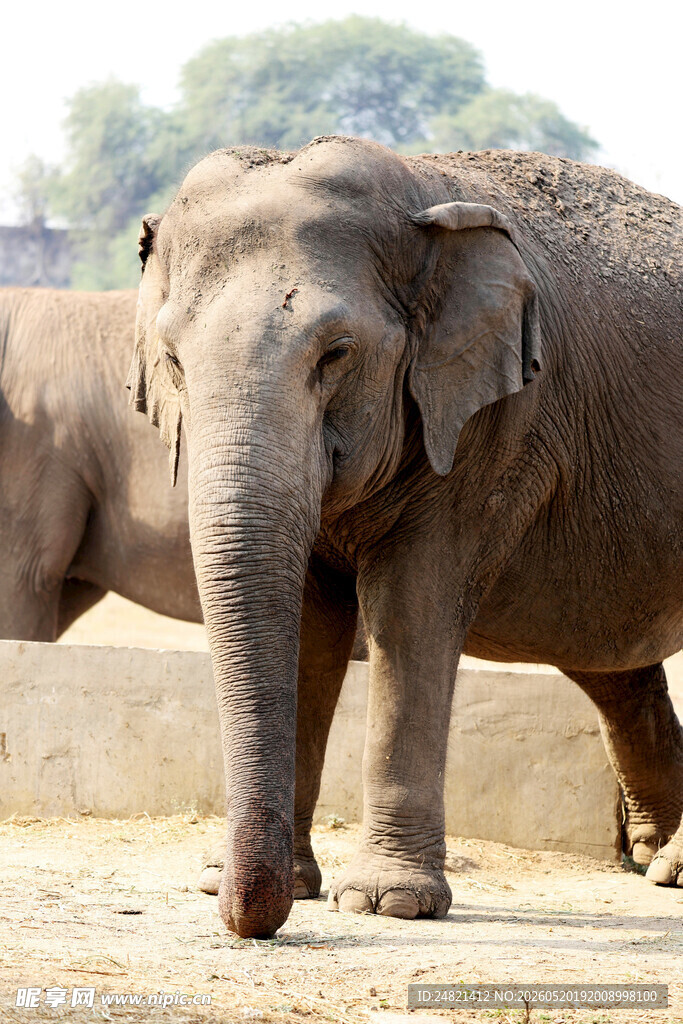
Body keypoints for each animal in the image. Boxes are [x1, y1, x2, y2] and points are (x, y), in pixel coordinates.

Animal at [130, 136, 683, 939]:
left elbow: (411, 611)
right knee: (613, 665)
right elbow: (309, 625)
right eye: (172, 359)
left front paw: (385, 902)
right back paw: (662, 865)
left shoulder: (492, 428)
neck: (421, 199)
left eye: (336, 352)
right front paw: (269, 886)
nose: (245, 919)